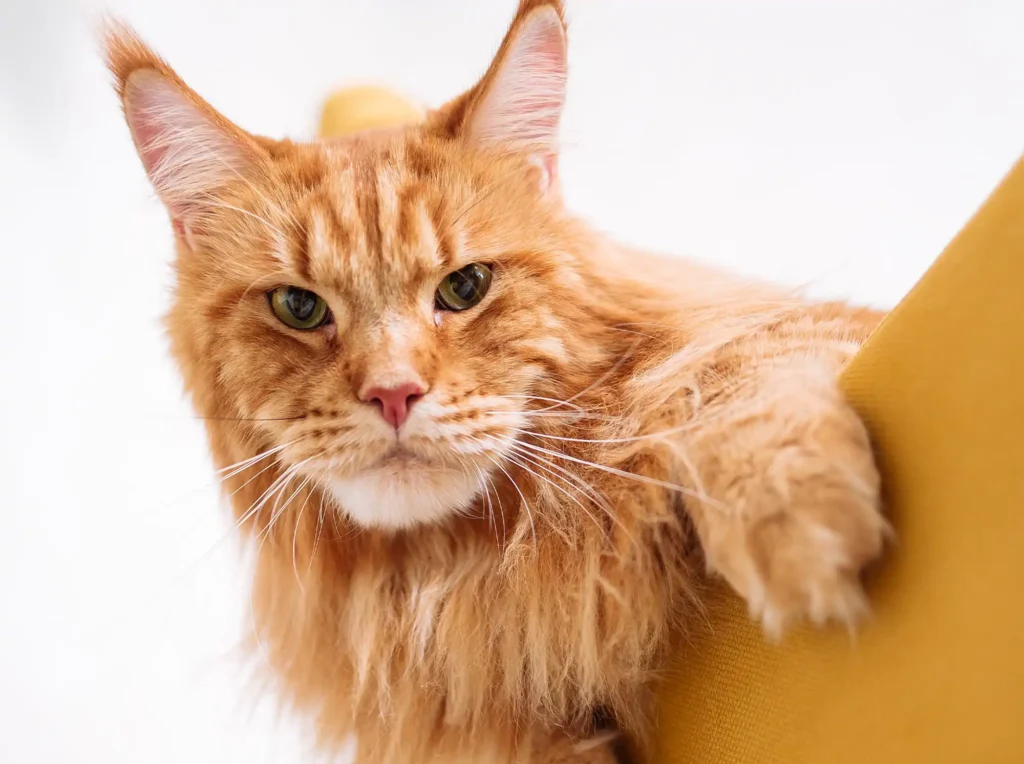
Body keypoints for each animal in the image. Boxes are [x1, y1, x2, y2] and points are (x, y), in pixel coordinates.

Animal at [105, 2, 888, 757]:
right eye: (299, 307)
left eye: (465, 287)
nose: (394, 393)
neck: (453, 582)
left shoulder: (805, 331)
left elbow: (737, 373)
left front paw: (797, 525)